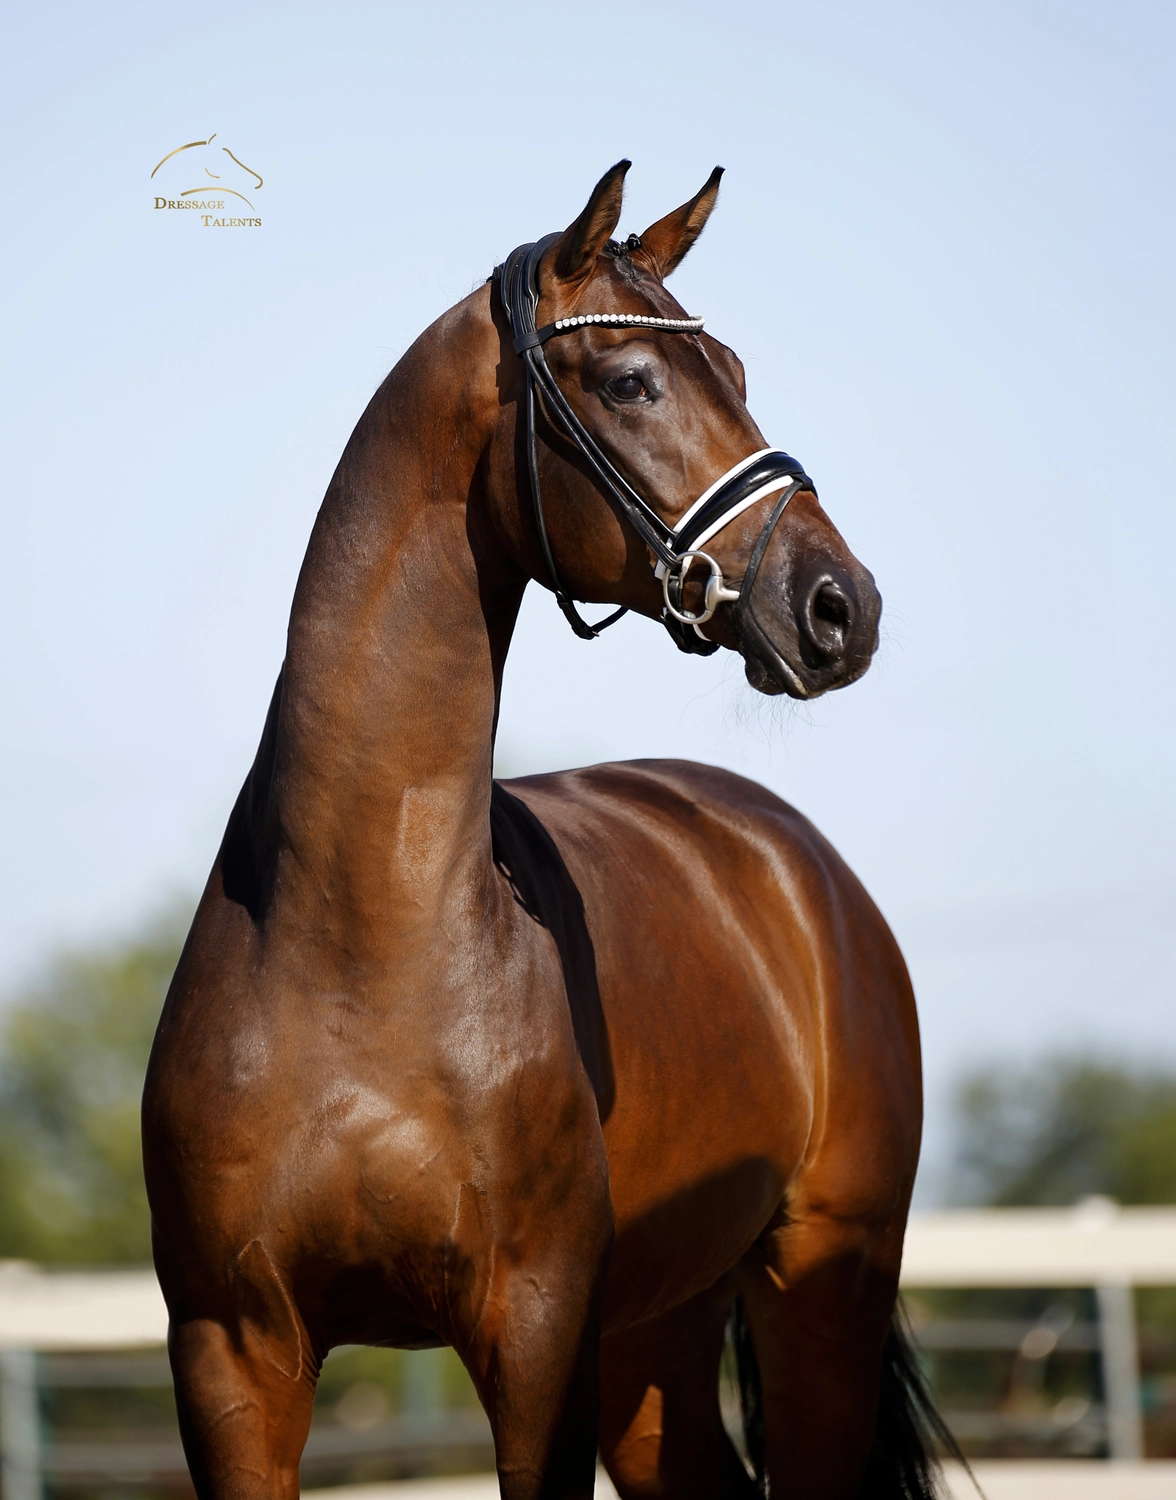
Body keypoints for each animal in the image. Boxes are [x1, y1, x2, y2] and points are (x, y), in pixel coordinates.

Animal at [143, 161, 951, 1500]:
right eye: (629, 380)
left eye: (737, 368)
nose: (843, 606)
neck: (357, 941)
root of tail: (793, 865)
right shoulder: (232, 1357)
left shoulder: (537, 1343)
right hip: (654, 1335)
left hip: (817, 1286)